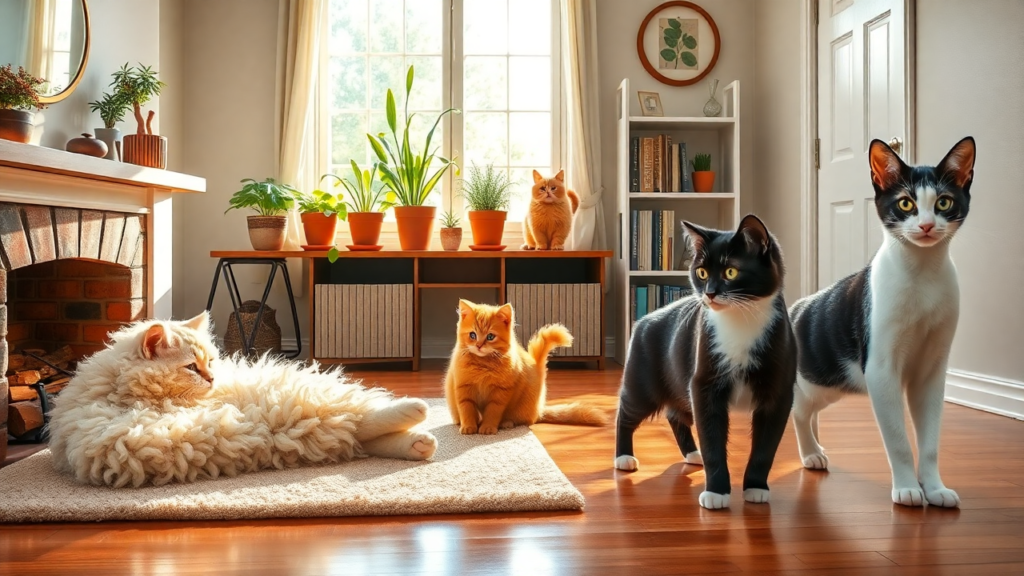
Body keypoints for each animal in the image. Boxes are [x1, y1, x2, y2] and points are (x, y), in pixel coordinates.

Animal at [48, 311, 436, 485]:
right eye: (191, 367)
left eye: (211, 361)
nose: (213, 378)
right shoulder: (129, 437)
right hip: (291, 417)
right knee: (358, 431)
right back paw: (420, 434)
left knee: (360, 423)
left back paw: (420, 426)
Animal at [442, 297, 602, 432]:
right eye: (472, 335)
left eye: (490, 336)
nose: (479, 345)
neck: (483, 364)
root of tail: (539, 410)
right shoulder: (462, 386)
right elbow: (466, 408)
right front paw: (468, 426)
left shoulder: (501, 392)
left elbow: (493, 411)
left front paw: (488, 427)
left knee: (525, 420)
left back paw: (506, 423)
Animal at [610, 214, 794, 506]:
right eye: (702, 273)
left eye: (731, 272)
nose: (709, 293)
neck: (739, 321)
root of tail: (644, 319)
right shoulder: (704, 379)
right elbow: (711, 436)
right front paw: (716, 492)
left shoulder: (779, 388)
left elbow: (767, 444)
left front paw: (756, 487)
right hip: (644, 379)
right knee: (627, 411)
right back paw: (624, 457)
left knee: (676, 413)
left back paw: (692, 455)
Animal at [790, 136, 974, 504]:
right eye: (905, 203)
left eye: (944, 202)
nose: (926, 225)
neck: (923, 276)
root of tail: (797, 306)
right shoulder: (880, 368)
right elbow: (898, 439)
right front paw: (907, 488)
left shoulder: (931, 370)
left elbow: (930, 441)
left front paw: (934, 488)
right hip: (819, 377)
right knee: (799, 409)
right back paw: (809, 452)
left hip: (831, 383)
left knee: (810, 408)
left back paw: (816, 445)